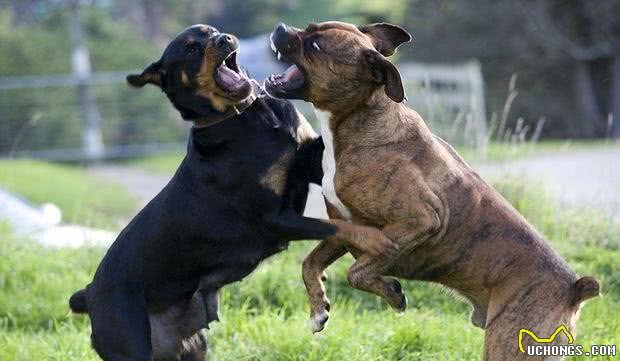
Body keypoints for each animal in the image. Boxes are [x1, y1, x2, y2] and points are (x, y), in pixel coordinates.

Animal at [69, 24, 398, 360]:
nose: (224, 39)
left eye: (211, 32)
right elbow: (336, 226)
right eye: (191, 49)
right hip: (129, 341)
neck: (246, 117)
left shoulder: (309, 162)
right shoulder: (273, 218)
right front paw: (376, 239)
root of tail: (89, 294)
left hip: (193, 347)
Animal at [266, 21, 600, 358]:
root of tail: (573, 290)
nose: (280, 28)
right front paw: (318, 308)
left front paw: (391, 292)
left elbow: (357, 272)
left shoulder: (421, 220)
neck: (360, 121)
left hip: (510, 341)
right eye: (309, 29)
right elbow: (310, 263)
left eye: (316, 46)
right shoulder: (343, 227)